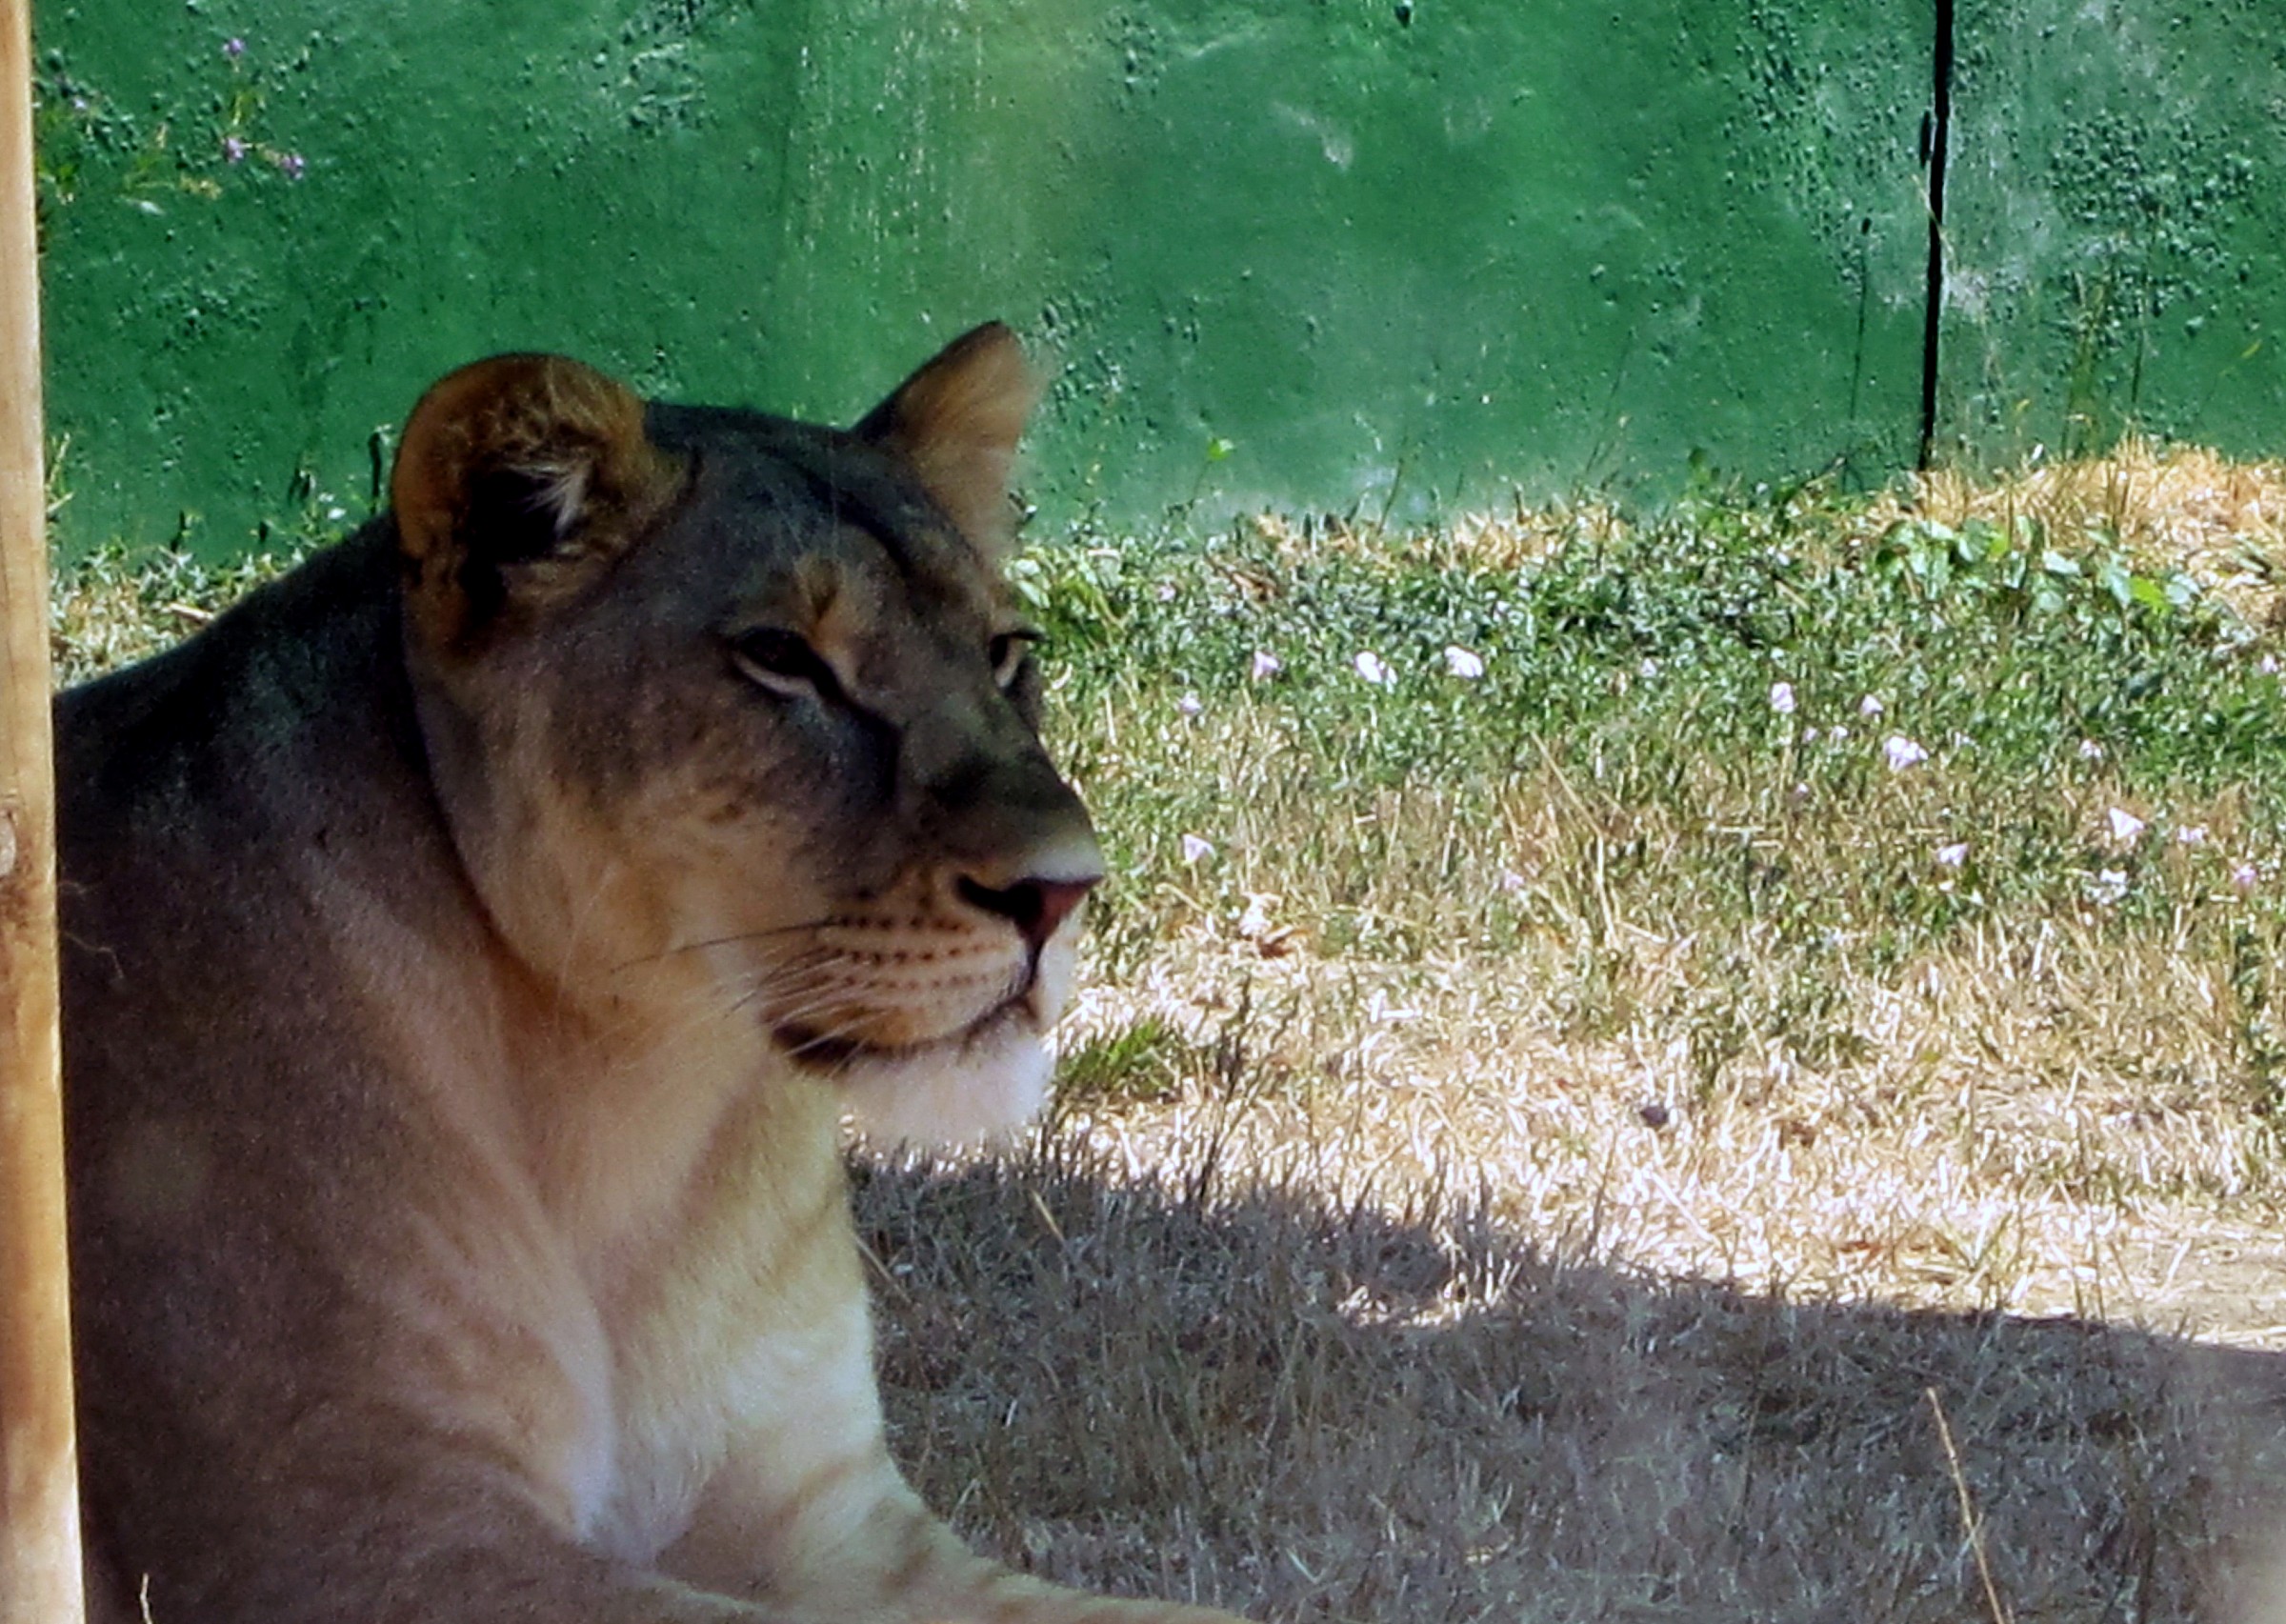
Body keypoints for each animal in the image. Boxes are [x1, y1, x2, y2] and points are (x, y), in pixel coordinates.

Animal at [58, 324, 1249, 1624]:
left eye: (1006, 653)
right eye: (781, 659)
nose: (1063, 890)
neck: (637, 1107)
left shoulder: (824, 1514)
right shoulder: (343, 1535)